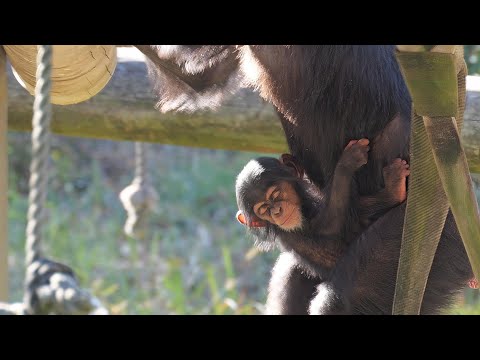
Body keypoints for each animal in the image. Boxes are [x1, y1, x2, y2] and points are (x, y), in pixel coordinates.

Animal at [135, 45, 472, 316]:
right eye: (266, 207)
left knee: (345, 299)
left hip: (434, 236)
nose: (277, 209)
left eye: (276, 196)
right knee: (293, 278)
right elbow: (199, 75)